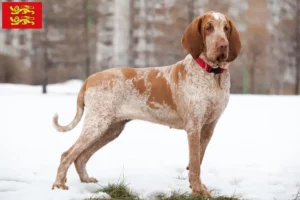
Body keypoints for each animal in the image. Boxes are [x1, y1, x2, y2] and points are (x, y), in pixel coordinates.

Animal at [52, 10, 241, 197]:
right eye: (209, 28)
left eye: (225, 28)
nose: (223, 45)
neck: (212, 73)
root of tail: (89, 79)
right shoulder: (194, 127)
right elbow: (194, 164)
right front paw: (197, 191)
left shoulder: (209, 127)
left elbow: (198, 161)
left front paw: (197, 187)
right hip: (97, 124)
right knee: (67, 154)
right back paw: (59, 185)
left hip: (111, 129)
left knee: (81, 157)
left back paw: (86, 181)